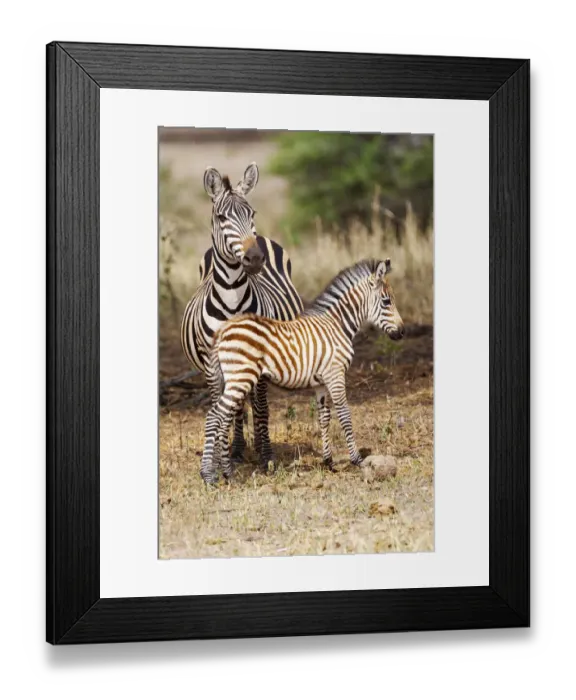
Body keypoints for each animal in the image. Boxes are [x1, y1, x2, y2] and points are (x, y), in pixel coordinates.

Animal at [180, 162, 303, 468]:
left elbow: (261, 407)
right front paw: (221, 459)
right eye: (221, 216)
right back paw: (236, 448)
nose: (255, 259)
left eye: (252, 213)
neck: (232, 300)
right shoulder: (211, 364)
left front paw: (267, 457)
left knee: (252, 402)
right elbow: (221, 407)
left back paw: (256, 445)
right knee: (235, 403)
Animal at [200, 258, 405, 484]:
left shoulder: (321, 382)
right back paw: (209, 475)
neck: (338, 325)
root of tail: (223, 330)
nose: (403, 332)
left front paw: (329, 461)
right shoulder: (335, 374)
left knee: (222, 418)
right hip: (240, 378)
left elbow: (324, 417)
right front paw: (357, 459)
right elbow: (344, 414)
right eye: (386, 301)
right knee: (215, 416)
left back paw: (226, 472)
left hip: (232, 379)